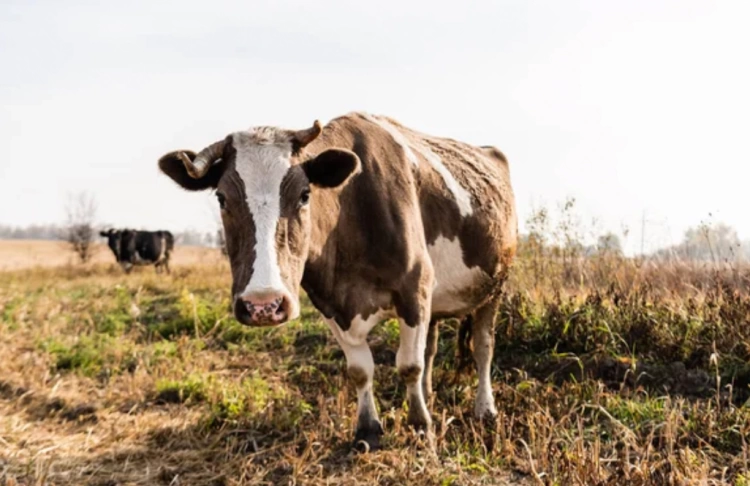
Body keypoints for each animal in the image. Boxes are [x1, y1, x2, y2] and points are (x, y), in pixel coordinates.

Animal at [159, 112, 520, 450]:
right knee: (431, 347)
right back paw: (430, 395)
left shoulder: (414, 287)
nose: (263, 304)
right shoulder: (329, 302)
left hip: (496, 286)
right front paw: (368, 429)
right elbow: (361, 369)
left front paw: (421, 427)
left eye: (304, 195)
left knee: (482, 347)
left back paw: (485, 408)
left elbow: (409, 365)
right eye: (221, 198)